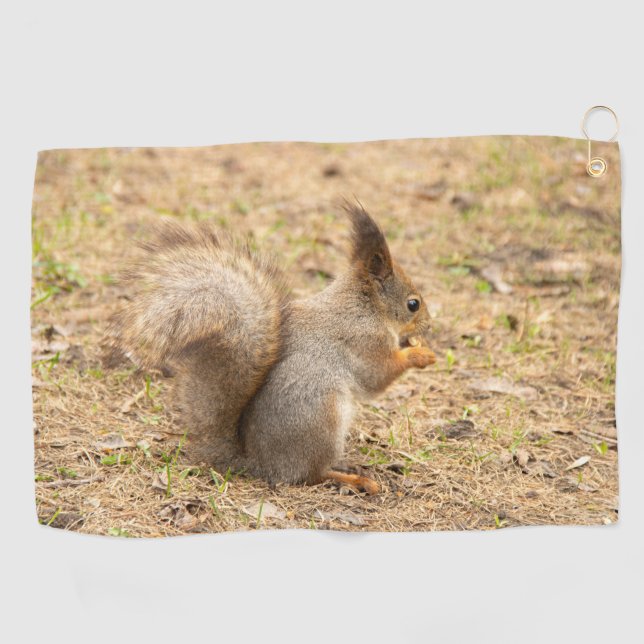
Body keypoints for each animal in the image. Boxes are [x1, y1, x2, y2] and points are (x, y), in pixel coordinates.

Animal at [104, 202, 436, 494]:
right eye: (413, 304)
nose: (429, 326)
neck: (364, 306)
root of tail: (261, 465)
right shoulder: (364, 340)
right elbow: (377, 377)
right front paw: (420, 354)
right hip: (322, 419)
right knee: (311, 475)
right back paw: (353, 479)